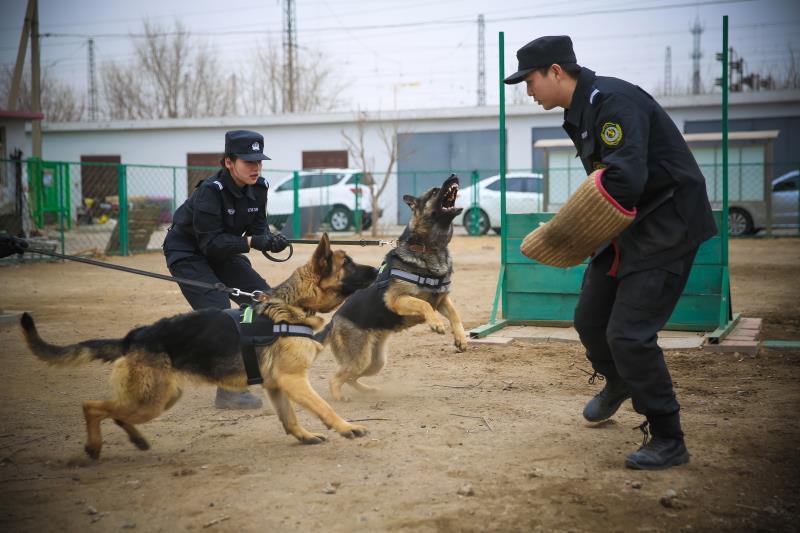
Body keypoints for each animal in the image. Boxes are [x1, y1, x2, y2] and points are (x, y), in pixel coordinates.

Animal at [18, 235, 378, 460]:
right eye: (348, 264)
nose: (378, 270)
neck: (295, 304)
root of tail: (135, 336)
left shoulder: (278, 385)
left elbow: (289, 419)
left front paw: (304, 436)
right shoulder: (293, 380)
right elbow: (325, 407)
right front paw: (347, 427)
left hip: (161, 397)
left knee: (115, 412)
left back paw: (136, 439)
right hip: (151, 400)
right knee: (92, 406)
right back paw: (95, 447)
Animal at [316, 175, 468, 400]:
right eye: (434, 191)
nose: (453, 176)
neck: (428, 249)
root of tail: (333, 322)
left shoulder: (442, 300)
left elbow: (456, 315)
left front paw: (461, 338)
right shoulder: (398, 300)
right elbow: (423, 305)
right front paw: (436, 323)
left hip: (375, 362)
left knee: (351, 378)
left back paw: (367, 390)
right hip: (360, 359)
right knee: (335, 378)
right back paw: (339, 398)